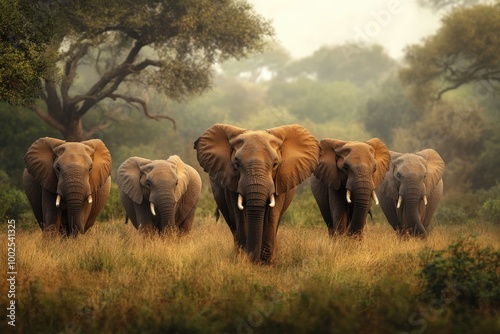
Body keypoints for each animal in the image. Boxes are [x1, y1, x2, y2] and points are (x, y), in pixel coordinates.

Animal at [193, 123, 318, 264]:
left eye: (275, 164)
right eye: (236, 164)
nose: (254, 259)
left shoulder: (279, 180)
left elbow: (272, 214)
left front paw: (266, 262)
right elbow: (239, 214)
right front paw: (245, 259)